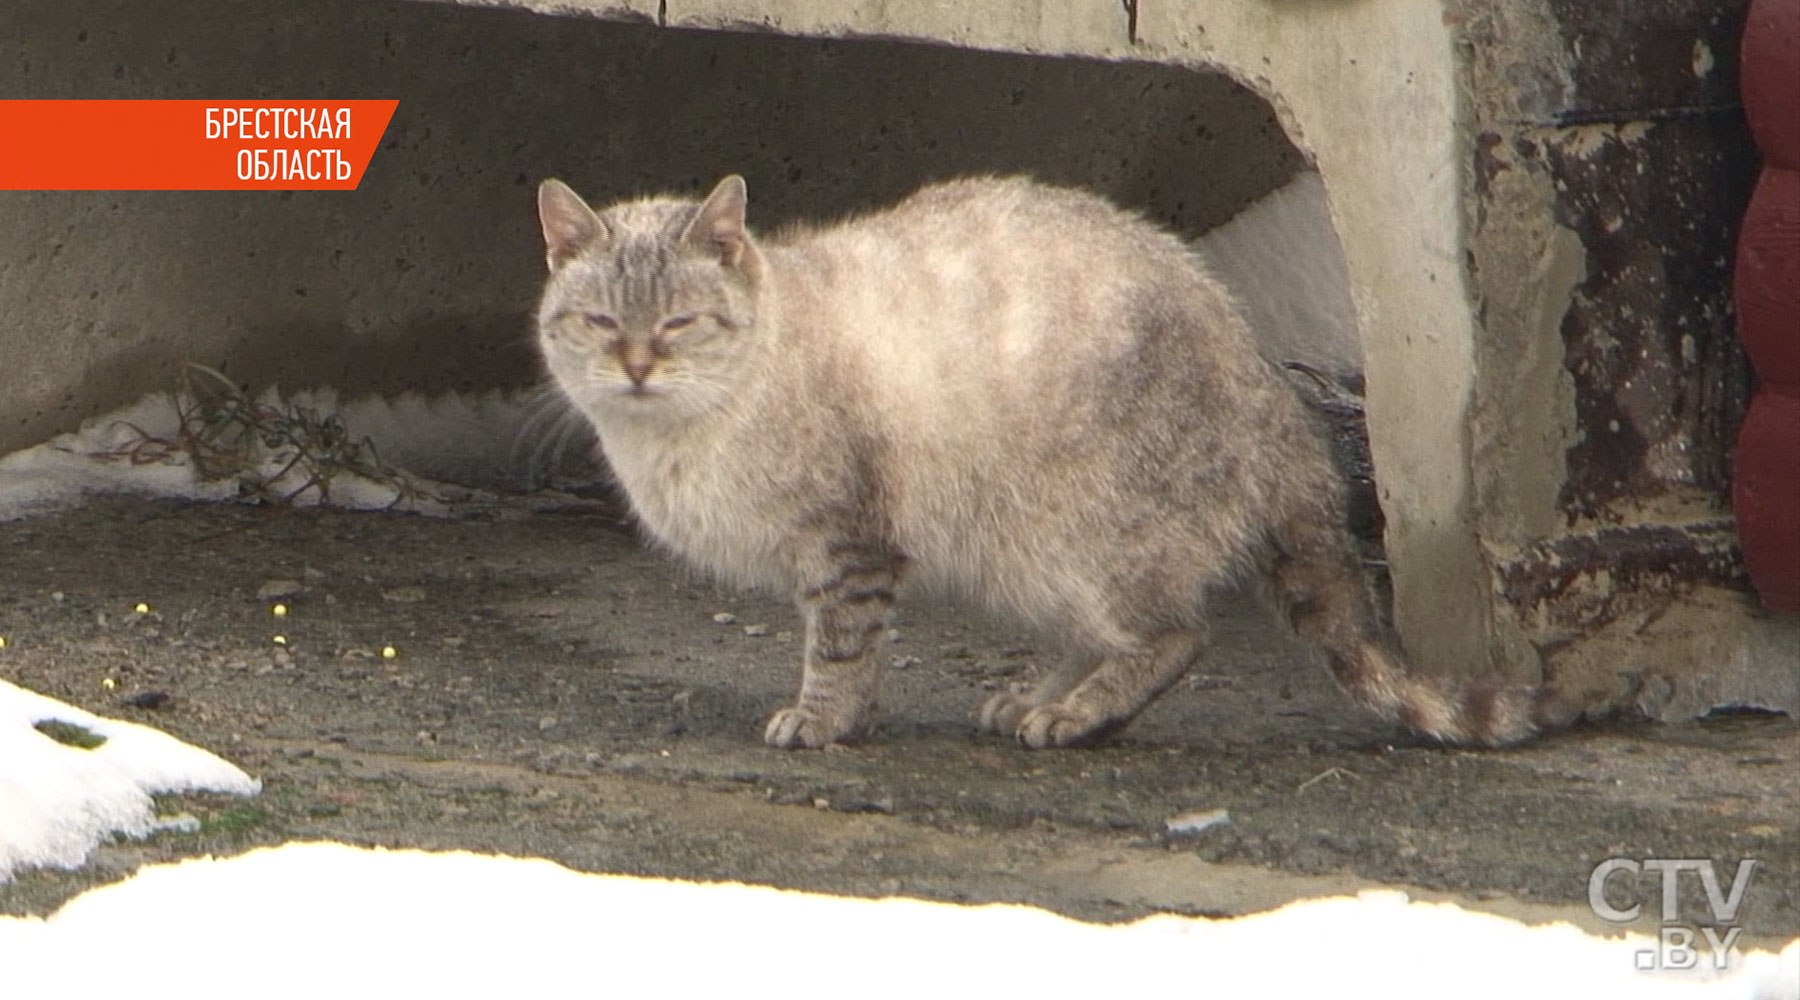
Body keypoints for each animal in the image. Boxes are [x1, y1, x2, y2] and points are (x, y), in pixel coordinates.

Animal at [529, 173, 1562, 748]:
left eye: (677, 323)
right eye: (600, 321)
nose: (637, 365)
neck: (678, 442)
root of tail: (1264, 381)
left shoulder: (850, 545)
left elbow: (842, 651)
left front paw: (821, 723)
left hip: (1075, 543)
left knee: (1177, 637)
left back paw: (1072, 715)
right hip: (1037, 561)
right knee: (1108, 638)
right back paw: (1042, 701)